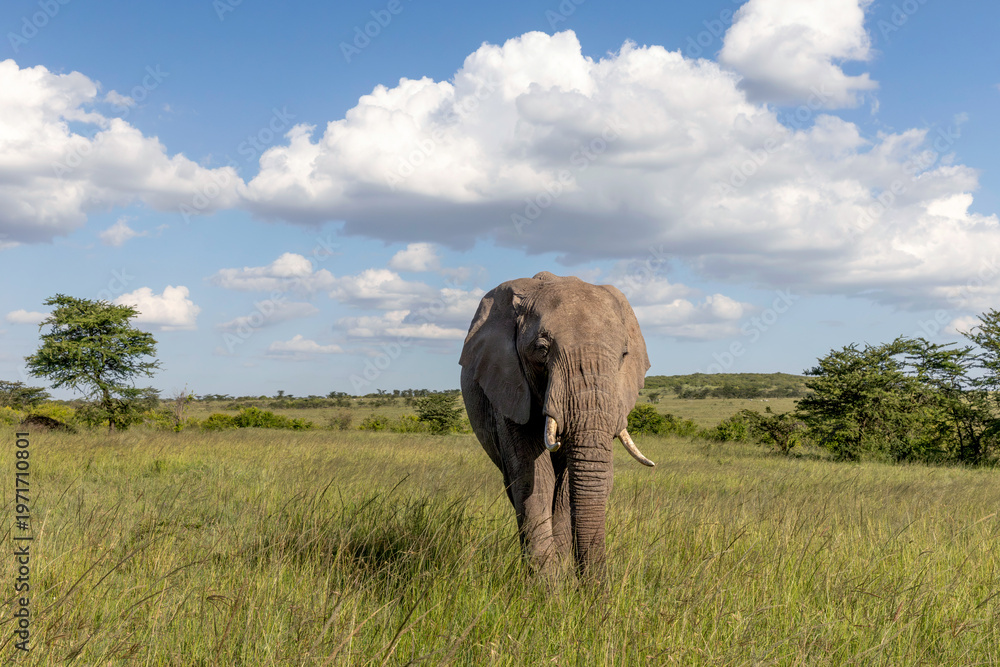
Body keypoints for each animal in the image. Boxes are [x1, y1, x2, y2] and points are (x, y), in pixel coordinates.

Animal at [459, 271, 654, 580]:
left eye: (624, 355)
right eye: (541, 351)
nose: (594, 589)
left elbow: (567, 485)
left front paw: (559, 577)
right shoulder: (509, 386)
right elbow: (534, 477)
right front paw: (546, 585)